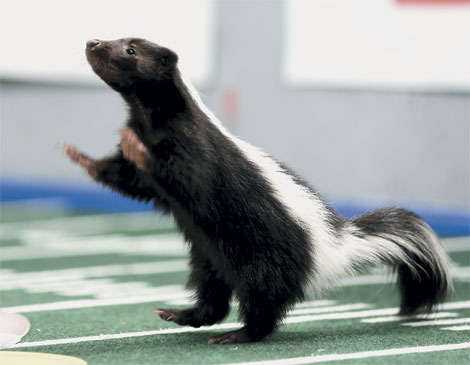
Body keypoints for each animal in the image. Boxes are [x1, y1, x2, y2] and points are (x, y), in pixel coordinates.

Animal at [61, 39, 452, 344]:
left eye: (130, 50)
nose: (93, 42)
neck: (150, 117)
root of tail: (337, 245)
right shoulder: (150, 169)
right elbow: (132, 180)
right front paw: (82, 157)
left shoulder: (193, 150)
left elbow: (179, 174)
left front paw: (135, 149)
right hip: (209, 254)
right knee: (213, 298)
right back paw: (183, 314)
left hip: (261, 254)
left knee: (263, 300)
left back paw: (239, 334)